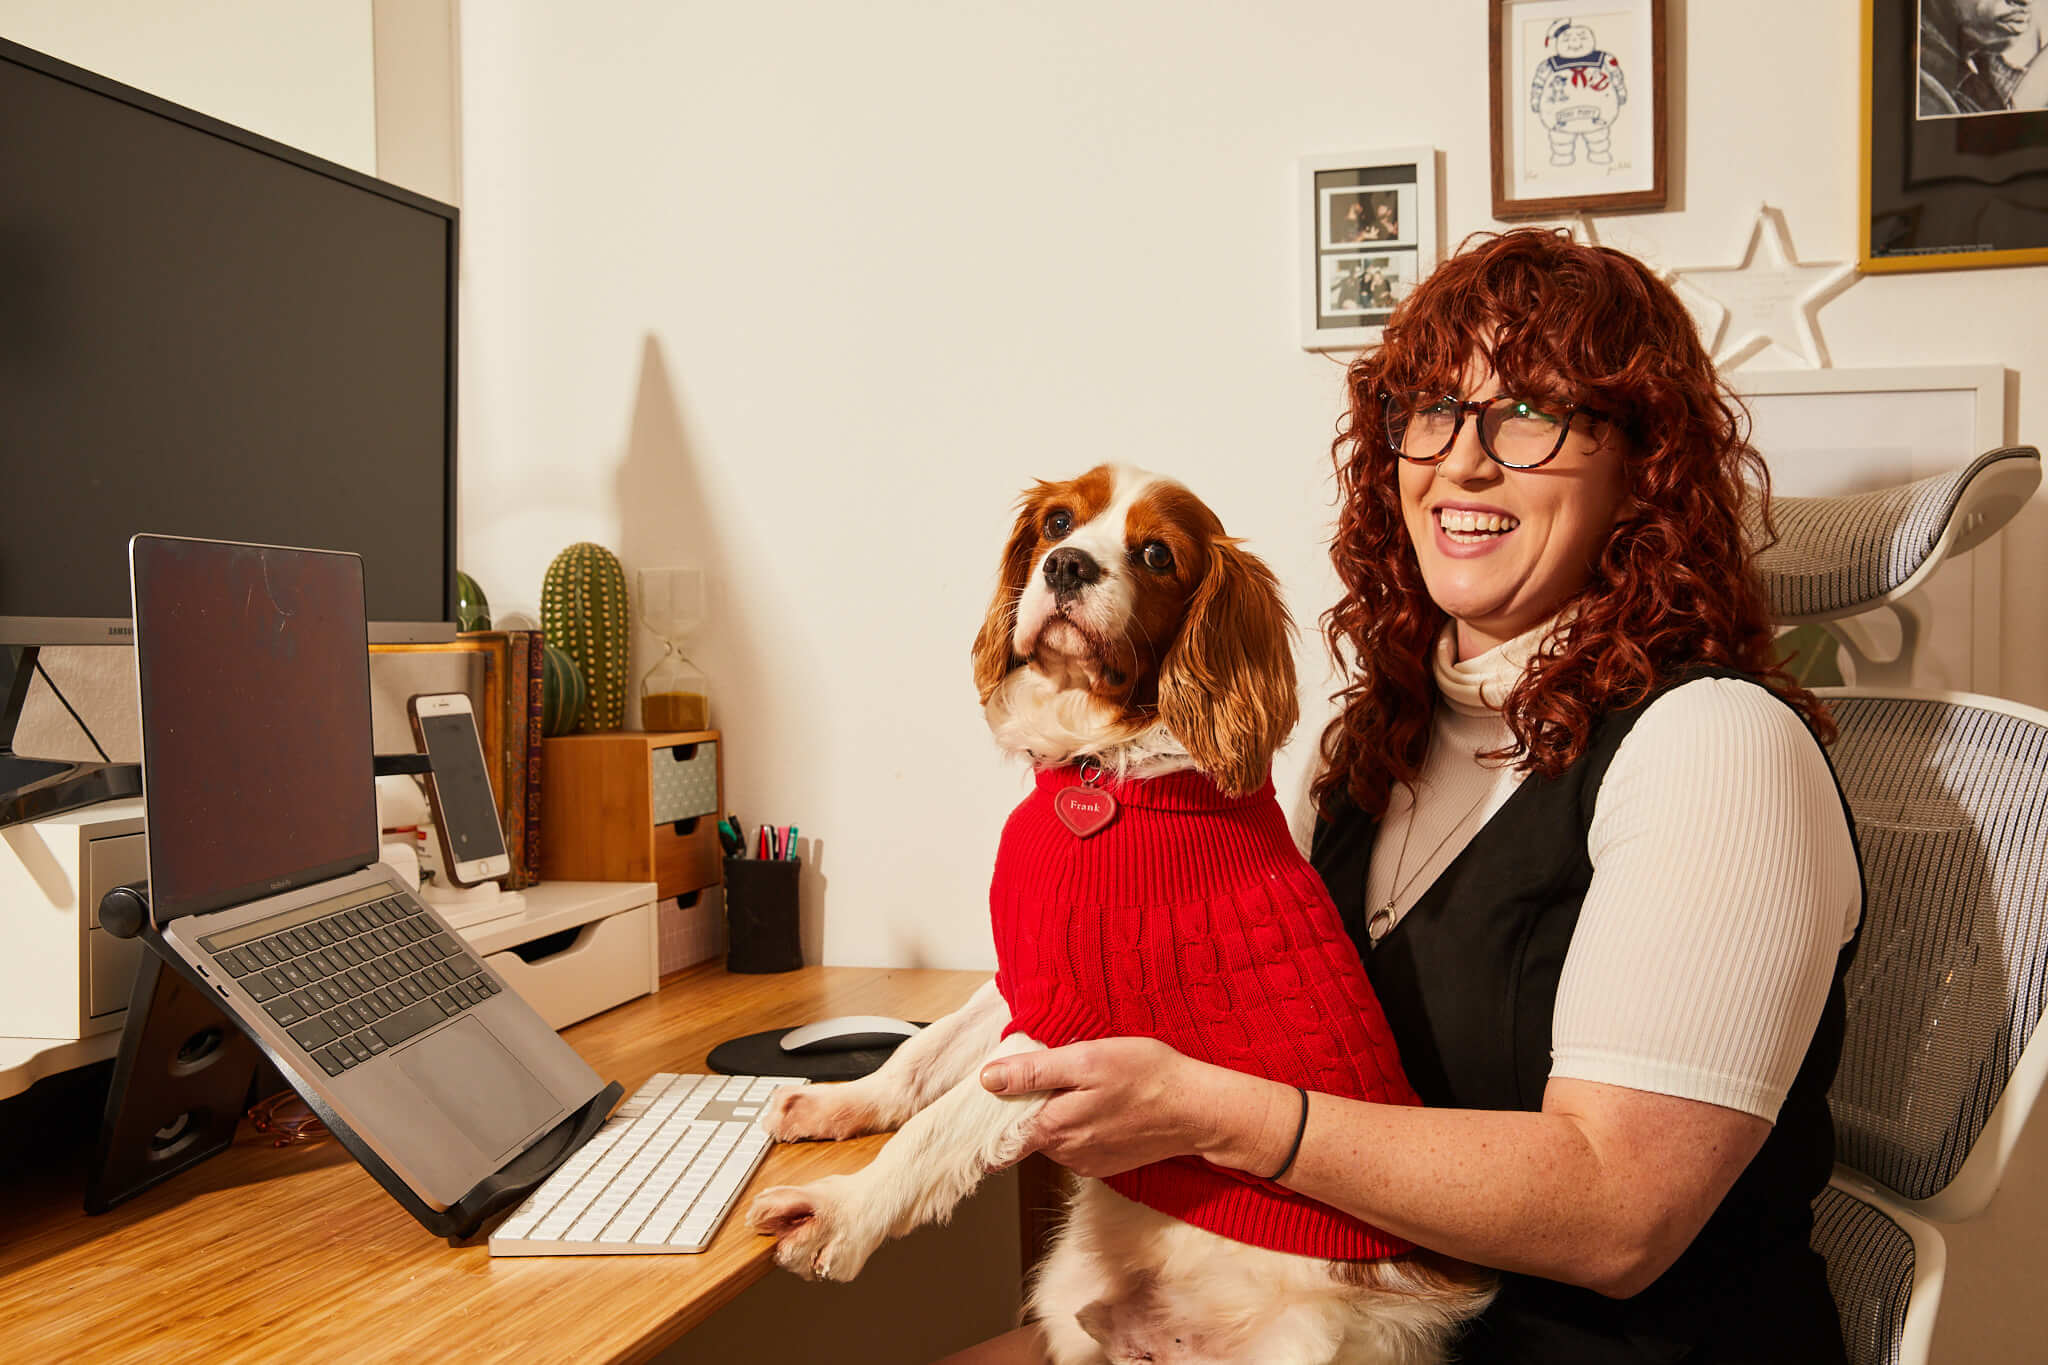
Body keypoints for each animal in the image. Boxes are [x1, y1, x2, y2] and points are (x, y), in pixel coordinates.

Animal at [745, 464, 1499, 1358]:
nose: (1067, 565)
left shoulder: (1072, 1028)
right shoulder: (1032, 974)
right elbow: (919, 1057)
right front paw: (835, 1103)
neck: (1101, 763)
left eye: (1156, 555)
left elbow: (938, 1129)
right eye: (1057, 522)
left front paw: (841, 1212)